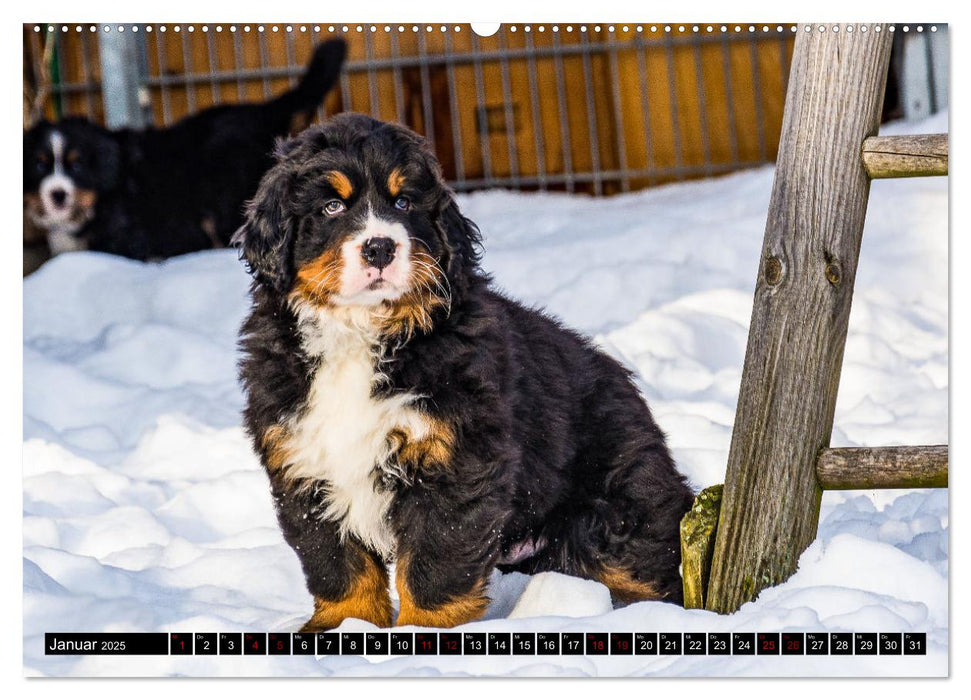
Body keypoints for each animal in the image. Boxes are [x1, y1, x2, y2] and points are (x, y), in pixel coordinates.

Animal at [233, 113, 696, 628]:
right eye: (331, 206)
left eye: (404, 202)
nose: (379, 247)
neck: (362, 333)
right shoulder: (305, 460)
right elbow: (337, 562)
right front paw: (341, 626)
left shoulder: (454, 456)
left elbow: (435, 560)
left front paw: (422, 631)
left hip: (615, 510)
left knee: (649, 566)